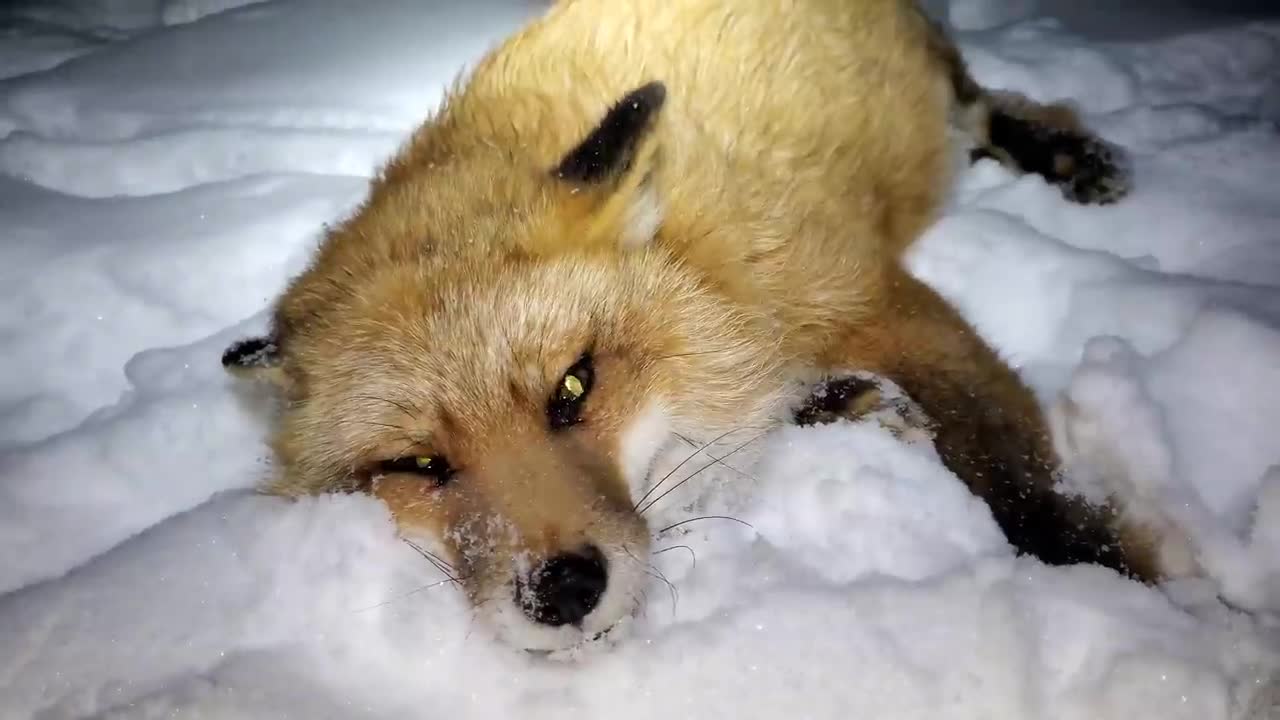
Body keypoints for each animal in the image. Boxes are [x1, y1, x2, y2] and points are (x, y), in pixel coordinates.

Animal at [220, 0, 1177, 650]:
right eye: (418, 466)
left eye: (575, 385)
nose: (564, 591)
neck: (703, 258)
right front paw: (844, 407)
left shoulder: (867, 295)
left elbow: (1022, 482)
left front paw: (1133, 592)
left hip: (930, 98)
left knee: (982, 103)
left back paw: (1067, 154)